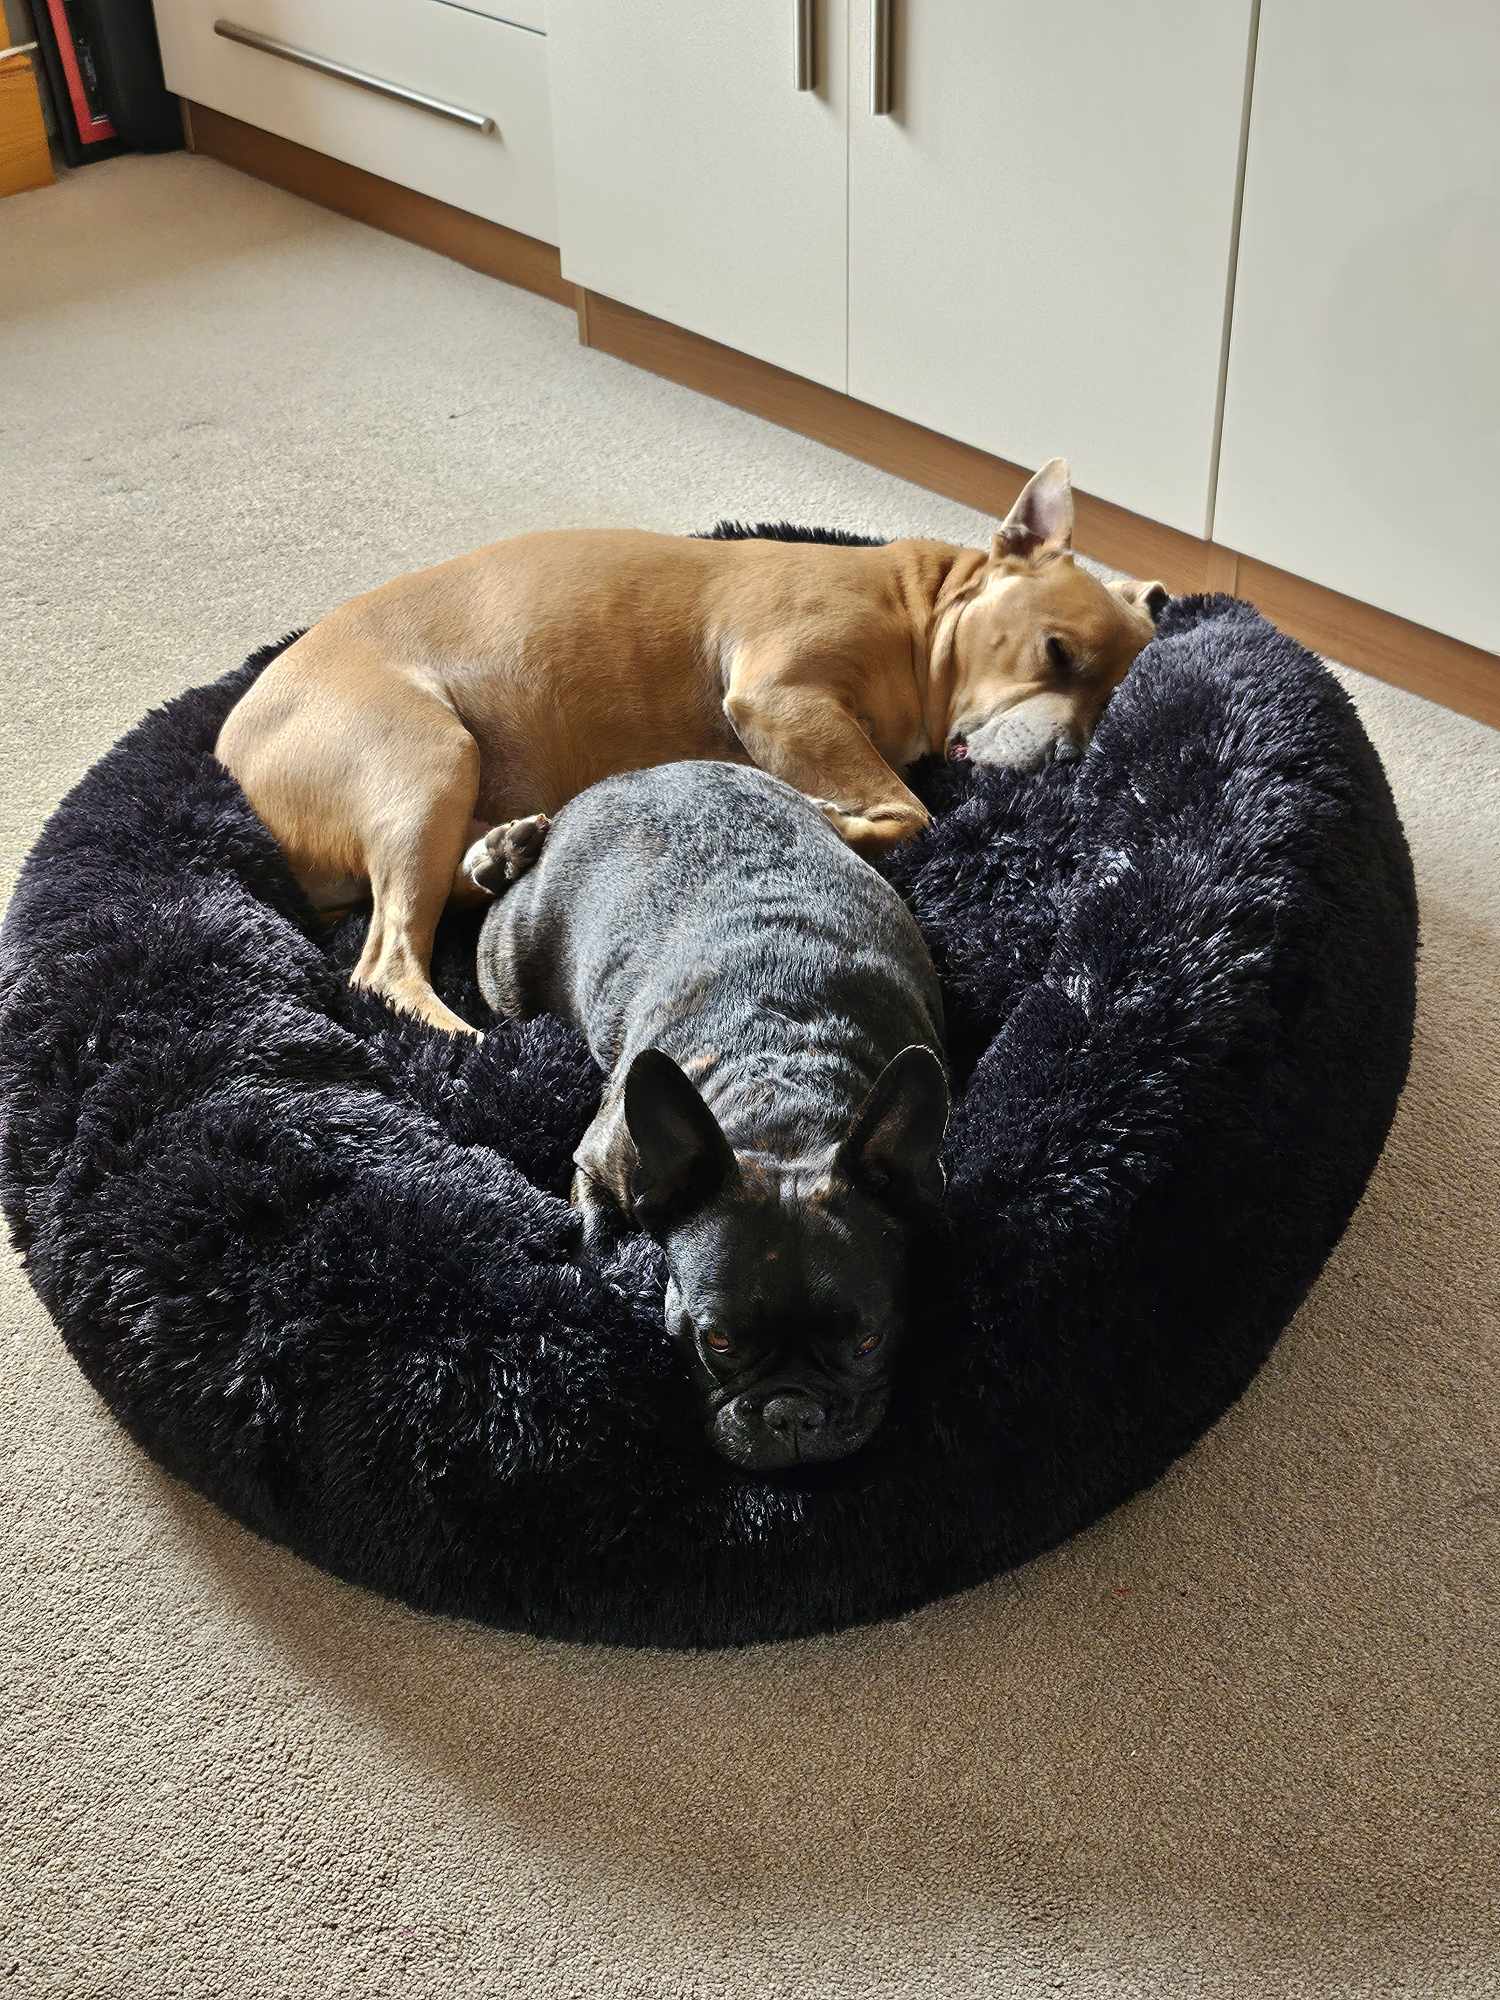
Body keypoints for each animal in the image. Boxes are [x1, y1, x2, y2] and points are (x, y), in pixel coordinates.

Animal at [217, 460, 1168, 1040]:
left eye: (1105, 713)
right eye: (1056, 654)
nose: (1070, 755)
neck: (920, 611)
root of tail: (231, 753)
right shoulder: (782, 698)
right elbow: (910, 809)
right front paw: (833, 812)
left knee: (459, 885)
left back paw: (510, 849)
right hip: (428, 761)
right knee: (385, 967)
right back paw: (476, 1041)